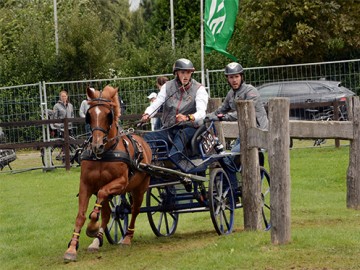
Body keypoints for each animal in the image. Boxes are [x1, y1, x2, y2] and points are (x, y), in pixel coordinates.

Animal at [64, 86, 151, 262]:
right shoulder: (86, 184)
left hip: (139, 189)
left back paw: (127, 237)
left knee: (134, 210)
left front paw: (91, 228)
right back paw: (96, 241)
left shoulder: (121, 182)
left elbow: (101, 198)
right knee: (106, 214)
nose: (97, 145)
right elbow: (81, 215)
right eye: (90, 115)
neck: (105, 153)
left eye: (108, 115)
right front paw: (72, 247)